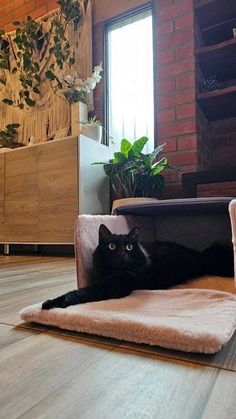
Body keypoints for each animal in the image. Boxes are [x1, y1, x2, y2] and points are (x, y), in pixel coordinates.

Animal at [41, 225, 233, 310]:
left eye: (129, 247)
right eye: (112, 246)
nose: (121, 254)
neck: (114, 272)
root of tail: (202, 254)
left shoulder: (120, 282)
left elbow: (83, 292)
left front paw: (52, 303)